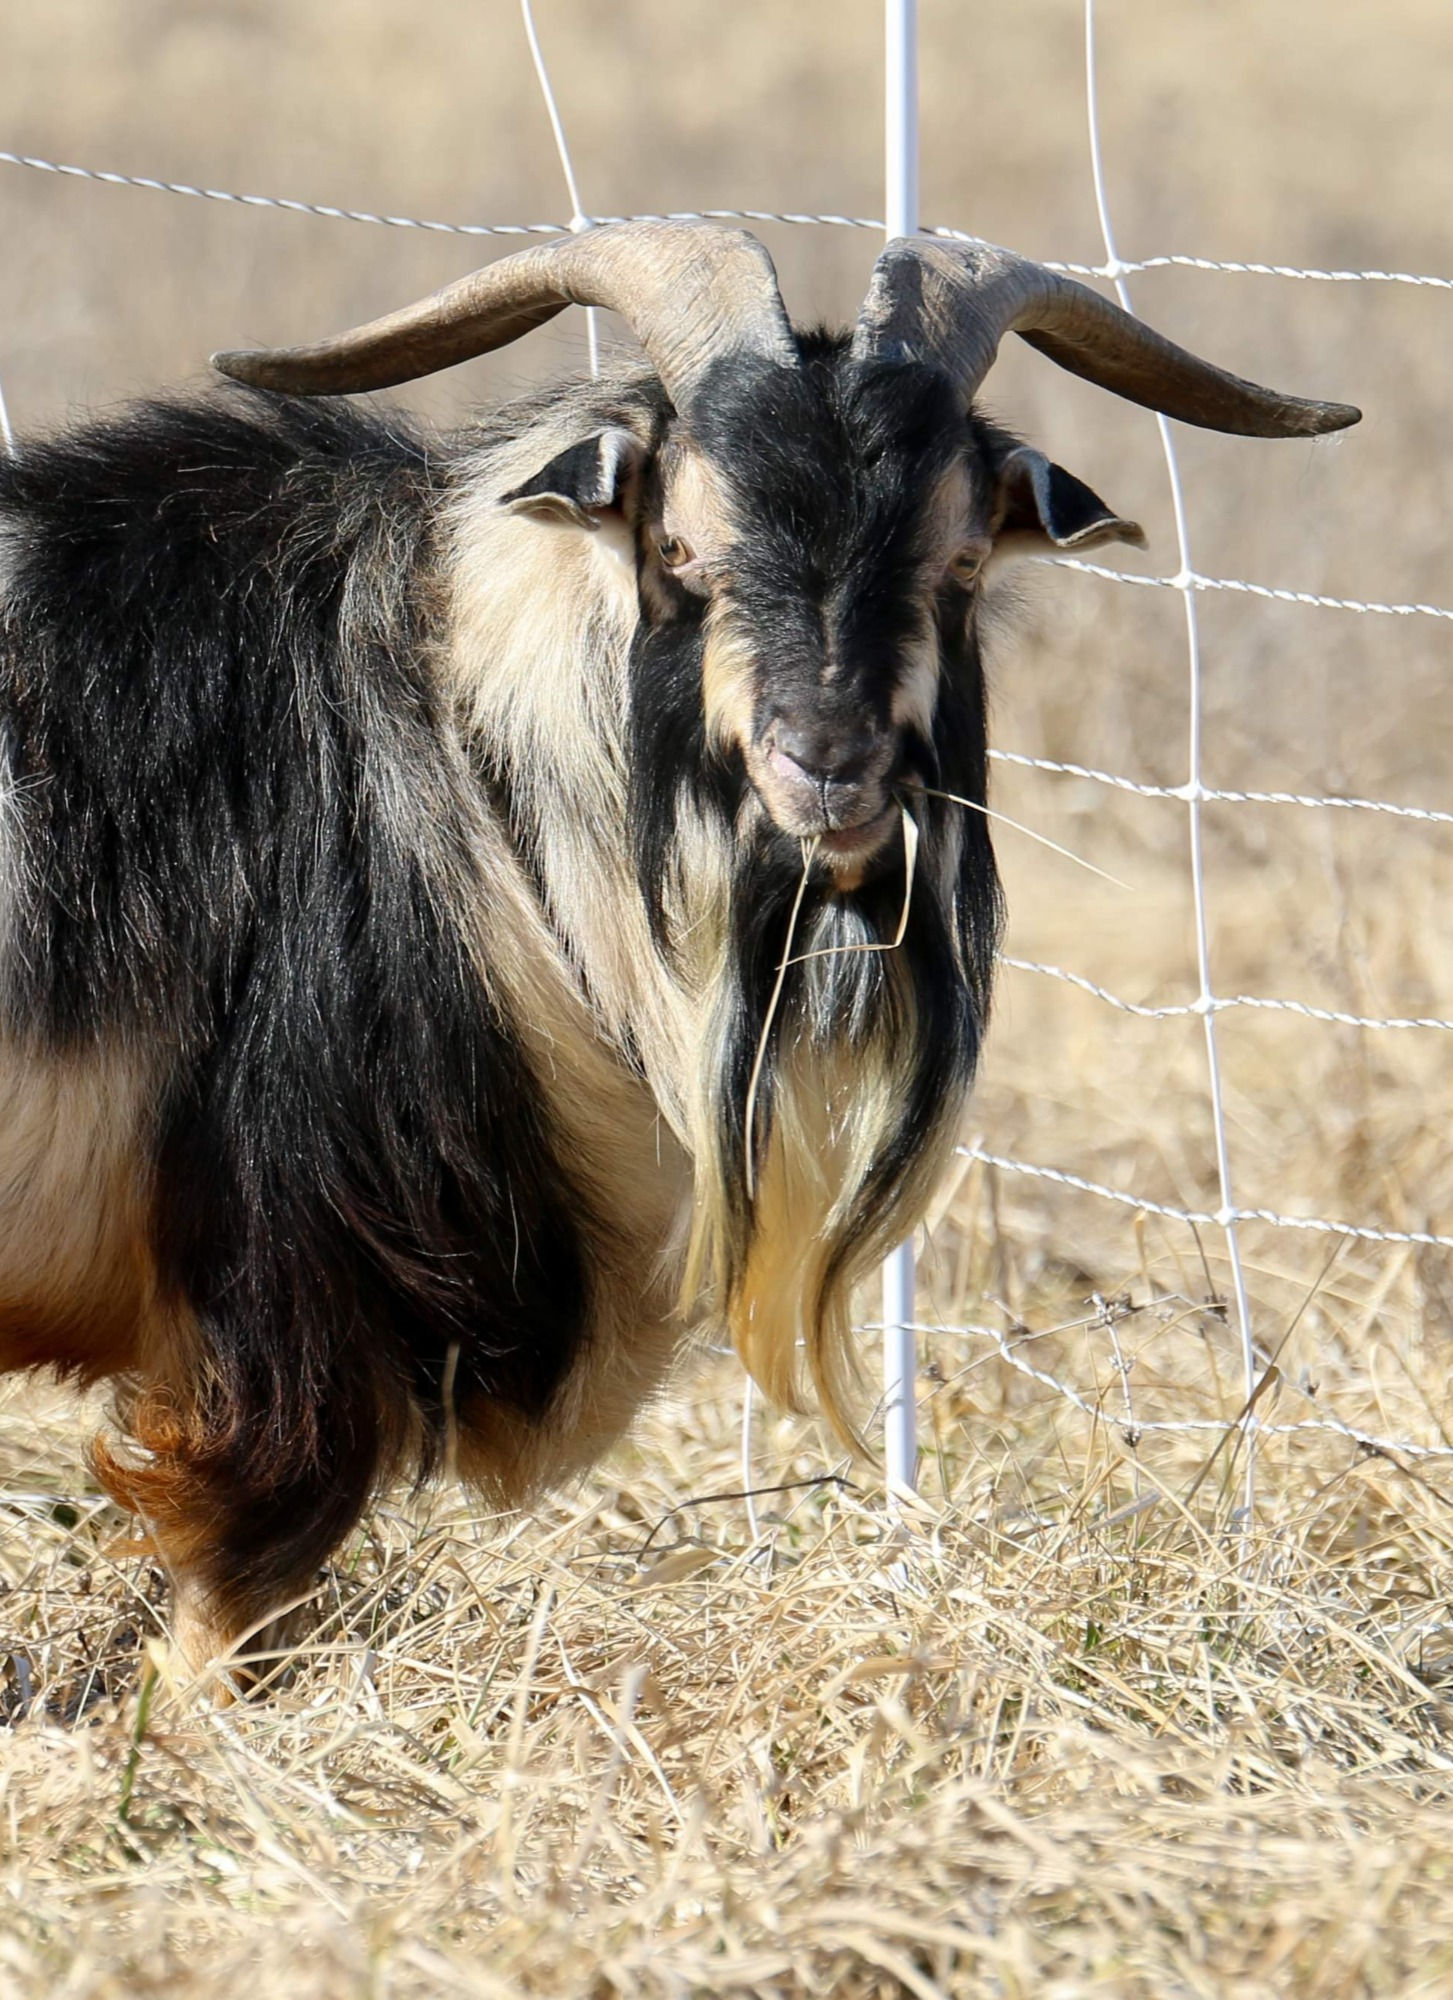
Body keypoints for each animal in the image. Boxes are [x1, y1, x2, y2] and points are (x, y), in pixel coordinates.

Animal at [0, 223, 1357, 1676]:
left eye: (956, 565)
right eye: (681, 547)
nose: (829, 769)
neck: (474, 744)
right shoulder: (276, 1304)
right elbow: (225, 1618)